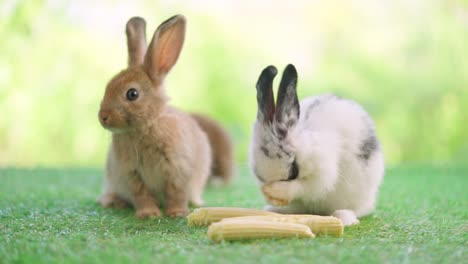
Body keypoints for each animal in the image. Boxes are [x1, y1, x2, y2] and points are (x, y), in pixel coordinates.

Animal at [97, 14, 232, 218]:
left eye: (132, 94)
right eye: (107, 87)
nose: (103, 117)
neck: (148, 125)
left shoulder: (178, 169)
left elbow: (176, 192)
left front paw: (177, 213)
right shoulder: (132, 174)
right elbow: (141, 194)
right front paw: (149, 215)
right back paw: (112, 201)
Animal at [249, 64, 384, 225]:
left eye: (293, 170)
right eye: (258, 175)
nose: (268, 189)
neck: (307, 144)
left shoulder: (323, 173)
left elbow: (305, 187)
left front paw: (274, 190)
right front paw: (270, 196)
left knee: (354, 210)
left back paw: (344, 218)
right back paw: (274, 210)